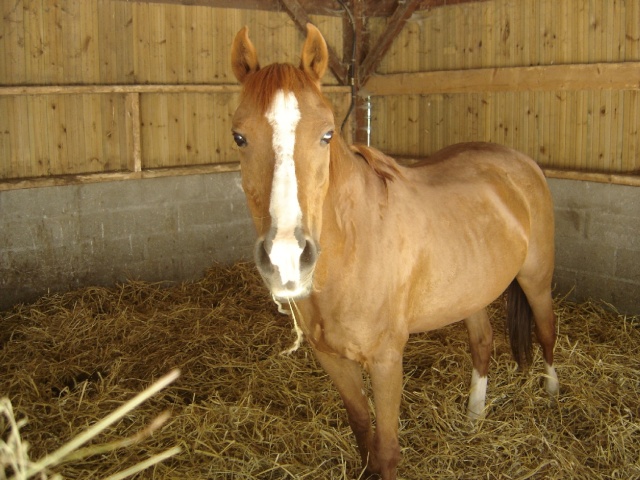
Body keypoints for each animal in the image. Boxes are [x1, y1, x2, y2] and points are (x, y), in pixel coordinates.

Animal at [229, 25, 556, 480]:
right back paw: (474, 416)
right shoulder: (332, 359)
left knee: (547, 332)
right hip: (471, 291)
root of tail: (520, 163)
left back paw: (553, 396)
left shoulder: (386, 361)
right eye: (239, 137)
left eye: (327, 134)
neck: (353, 248)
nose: (287, 258)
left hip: (536, 279)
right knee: (483, 343)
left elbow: (386, 449)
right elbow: (361, 429)